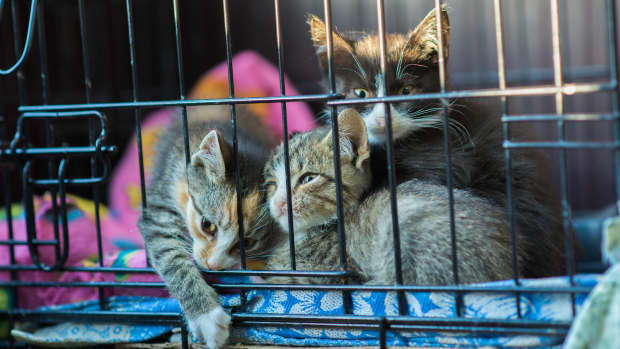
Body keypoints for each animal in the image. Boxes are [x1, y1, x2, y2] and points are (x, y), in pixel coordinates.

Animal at [140, 105, 276, 348]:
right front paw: (207, 318)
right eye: (207, 225)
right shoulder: (160, 202)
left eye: (247, 243)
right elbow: (170, 255)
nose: (213, 265)